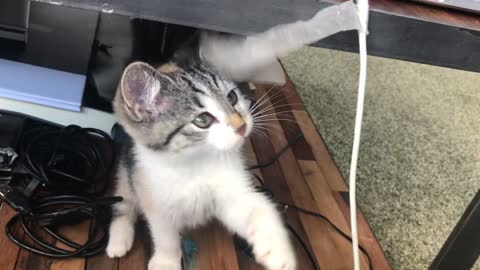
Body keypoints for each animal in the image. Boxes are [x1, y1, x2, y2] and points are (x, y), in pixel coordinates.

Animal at [106, 59, 296, 270]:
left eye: (232, 97)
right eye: (202, 120)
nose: (241, 126)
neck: (195, 162)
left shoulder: (229, 192)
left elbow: (257, 208)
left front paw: (277, 249)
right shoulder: (154, 199)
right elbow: (165, 237)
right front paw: (166, 261)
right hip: (127, 171)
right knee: (123, 201)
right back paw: (118, 240)